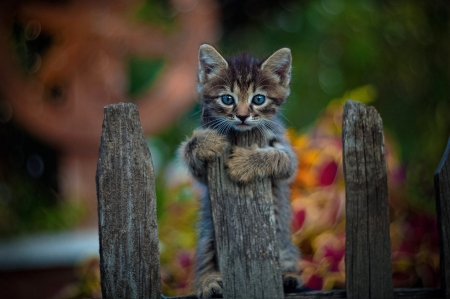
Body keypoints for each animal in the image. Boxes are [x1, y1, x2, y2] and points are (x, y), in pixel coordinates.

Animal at [179, 45, 302, 299]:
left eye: (258, 99)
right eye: (227, 99)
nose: (243, 116)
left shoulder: (288, 158)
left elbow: (277, 157)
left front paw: (244, 164)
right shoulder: (202, 176)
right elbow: (190, 150)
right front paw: (204, 142)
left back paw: (288, 277)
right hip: (208, 235)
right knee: (205, 258)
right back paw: (209, 282)